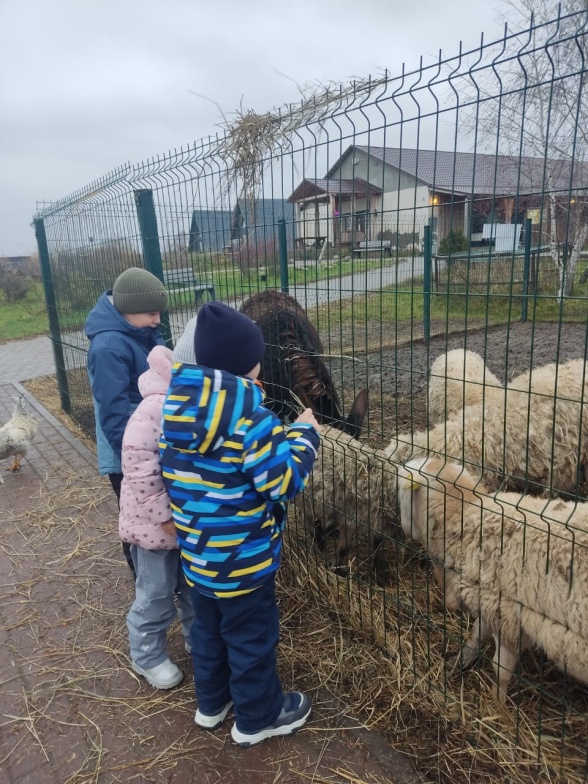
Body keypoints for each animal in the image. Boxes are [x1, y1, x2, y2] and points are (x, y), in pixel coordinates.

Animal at [396, 456, 588, 700]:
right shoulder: (488, 601)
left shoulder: (507, 617)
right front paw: (461, 658)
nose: (403, 529)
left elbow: (500, 669)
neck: (464, 516)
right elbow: (476, 632)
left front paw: (498, 704)